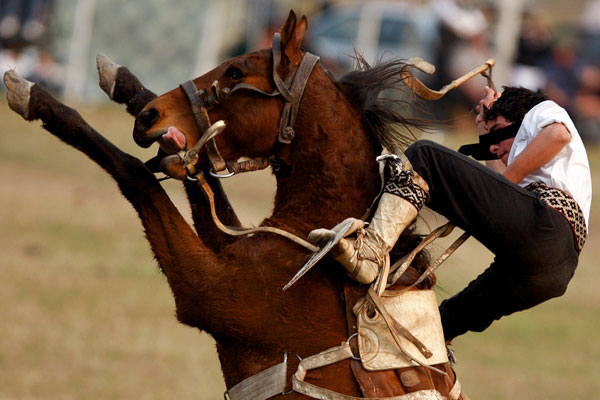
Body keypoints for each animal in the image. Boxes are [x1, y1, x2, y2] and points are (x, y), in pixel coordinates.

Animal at [3, 10, 464, 398]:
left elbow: (136, 174)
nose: (149, 117)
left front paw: (36, 97)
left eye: (236, 71)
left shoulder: (206, 289)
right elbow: (201, 183)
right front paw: (123, 83)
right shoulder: (229, 245)